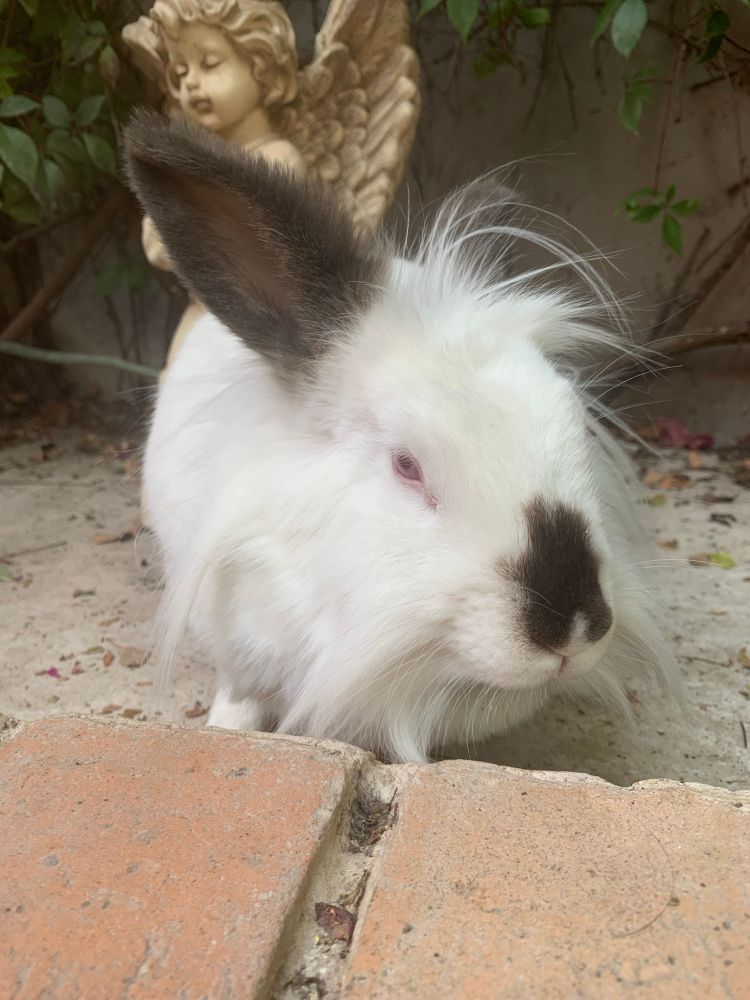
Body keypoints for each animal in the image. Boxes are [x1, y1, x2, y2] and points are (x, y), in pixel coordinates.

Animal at [124, 109, 679, 764]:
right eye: (406, 465)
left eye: (574, 423)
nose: (573, 623)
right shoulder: (234, 633)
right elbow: (239, 694)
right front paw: (226, 730)